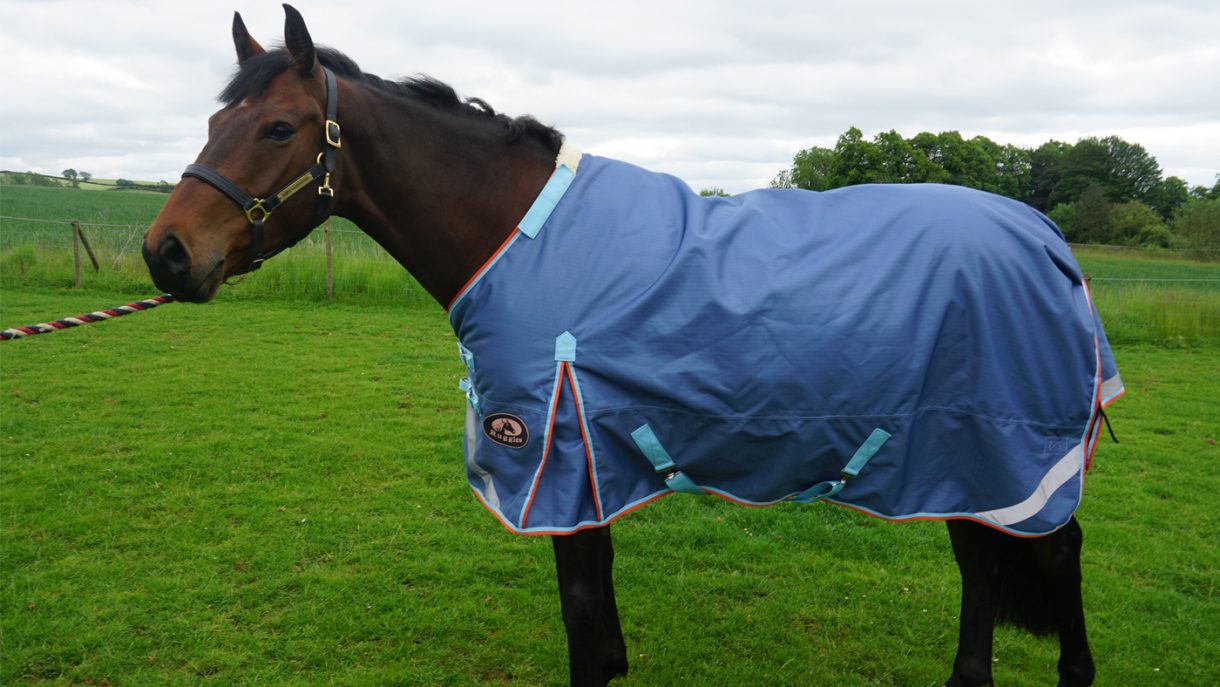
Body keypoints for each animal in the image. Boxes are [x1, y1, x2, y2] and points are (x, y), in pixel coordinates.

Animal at [142, 7, 1122, 686]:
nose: (167, 253)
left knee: (1037, 557)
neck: (521, 236)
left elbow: (585, 629)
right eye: (212, 124)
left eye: (278, 127)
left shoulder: (556, 463)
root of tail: (1046, 237)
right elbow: (603, 633)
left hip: (990, 450)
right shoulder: (592, 472)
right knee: (1004, 562)